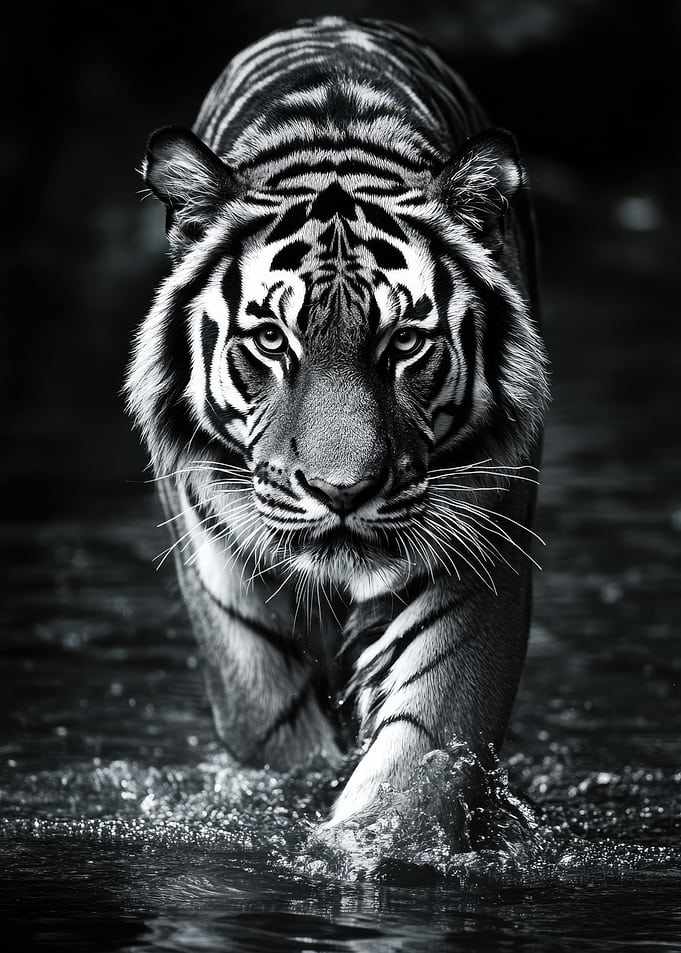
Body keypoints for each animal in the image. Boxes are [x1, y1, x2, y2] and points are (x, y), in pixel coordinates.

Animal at [125, 16, 549, 829]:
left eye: (404, 343)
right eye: (270, 339)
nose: (341, 491)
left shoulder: (476, 563)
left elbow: (413, 766)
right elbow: (278, 742)